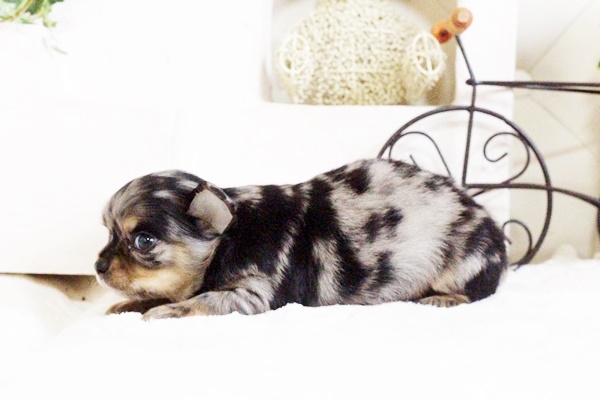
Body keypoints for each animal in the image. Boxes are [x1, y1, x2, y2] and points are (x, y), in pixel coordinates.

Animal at [95, 159, 507, 319]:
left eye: (144, 241)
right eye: (109, 231)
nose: (97, 267)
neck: (228, 237)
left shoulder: (251, 295)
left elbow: (203, 300)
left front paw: (164, 311)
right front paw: (127, 306)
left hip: (463, 261)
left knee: (475, 291)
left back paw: (442, 299)